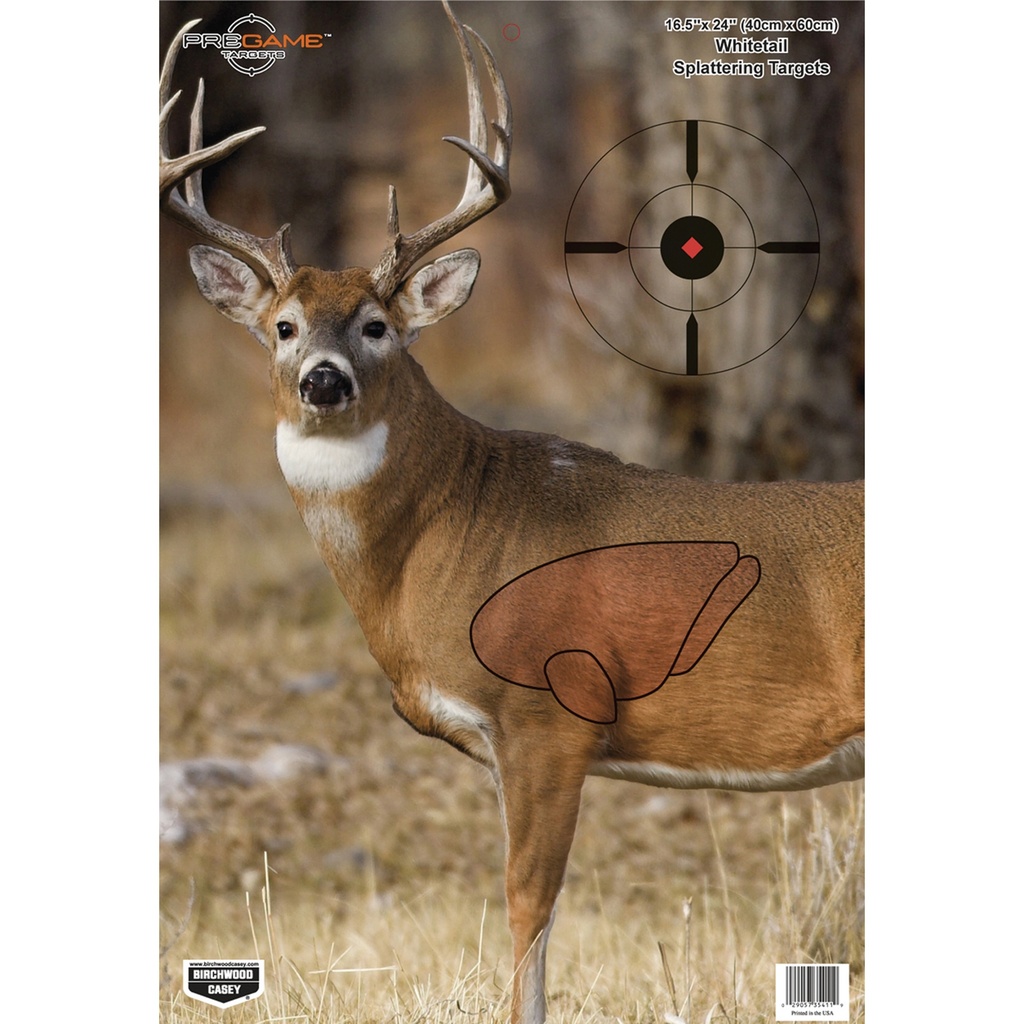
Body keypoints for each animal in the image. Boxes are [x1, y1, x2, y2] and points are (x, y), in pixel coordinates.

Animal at [159, 4, 864, 1022]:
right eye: (283, 326)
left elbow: (528, 902)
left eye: (377, 325)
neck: (444, 538)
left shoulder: (547, 713)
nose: (324, 380)